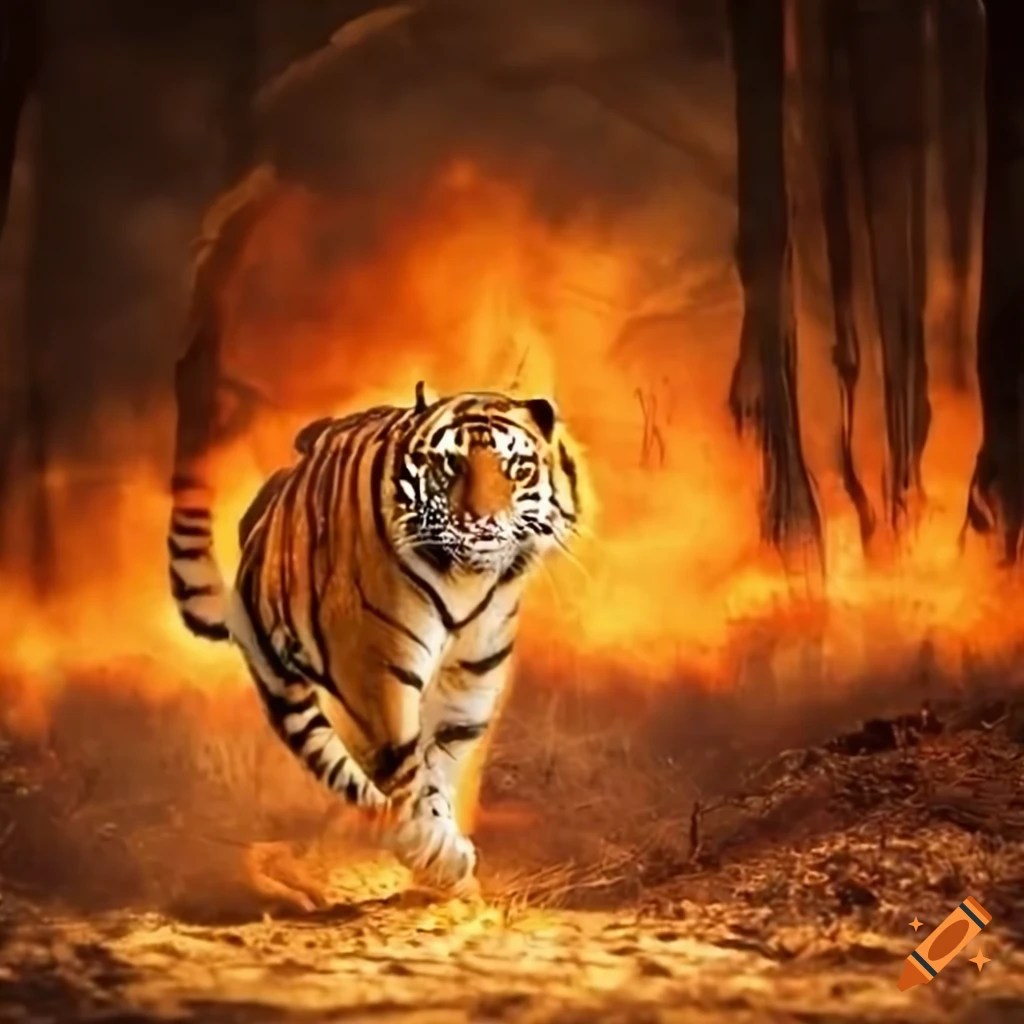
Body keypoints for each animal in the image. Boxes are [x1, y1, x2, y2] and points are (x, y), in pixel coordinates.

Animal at [167, 382, 584, 894]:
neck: (468, 581)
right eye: (451, 467)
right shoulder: (373, 671)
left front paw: (442, 850)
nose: (483, 525)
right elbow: (405, 774)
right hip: (286, 690)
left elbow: (439, 765)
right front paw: (439, 855)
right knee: (344, 770)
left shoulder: (469, 678)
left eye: (518, 469)